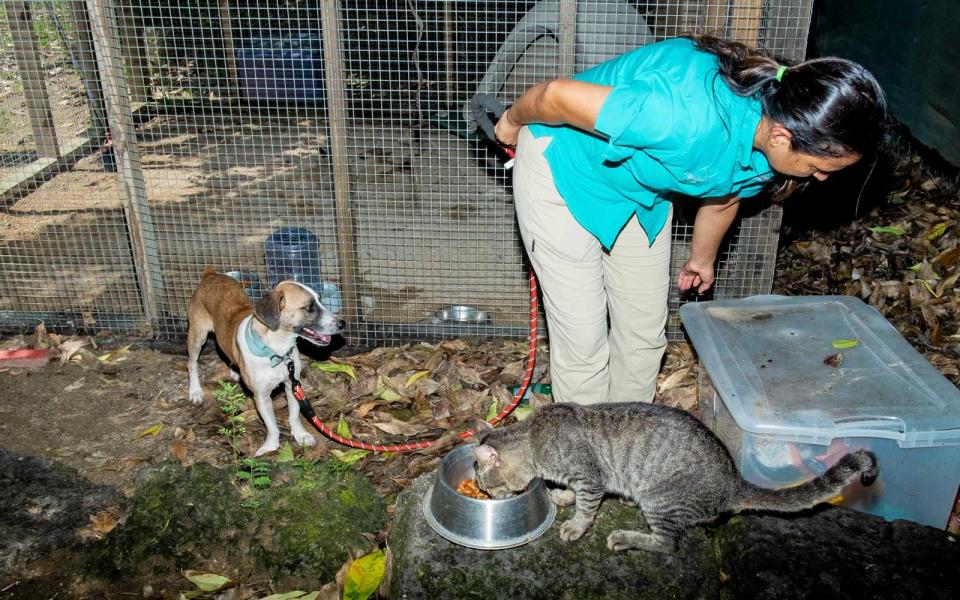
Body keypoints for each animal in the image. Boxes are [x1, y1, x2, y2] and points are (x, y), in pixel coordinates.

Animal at [186, 268, 344, 454]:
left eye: (320, 299)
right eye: (310, 307)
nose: (342, 323)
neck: (276, 352)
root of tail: (210, 275)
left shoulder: (292, 385)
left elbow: (294, 416)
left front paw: (300, 436)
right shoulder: (261, 397)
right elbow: (272, 426)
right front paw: (270, 446)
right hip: (197, 336)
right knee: (191, 364)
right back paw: (195, 391)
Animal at [472, 404, 876, 552]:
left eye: (484, 485)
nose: (486, 497)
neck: (534, 437)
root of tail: (733, 481)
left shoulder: (591, 478)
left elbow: (587, 507)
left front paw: (575, 525)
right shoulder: (585, 480)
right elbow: (574, 494)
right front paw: (561, 497)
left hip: (659, 499)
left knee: (668, 544)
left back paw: (625, 538)